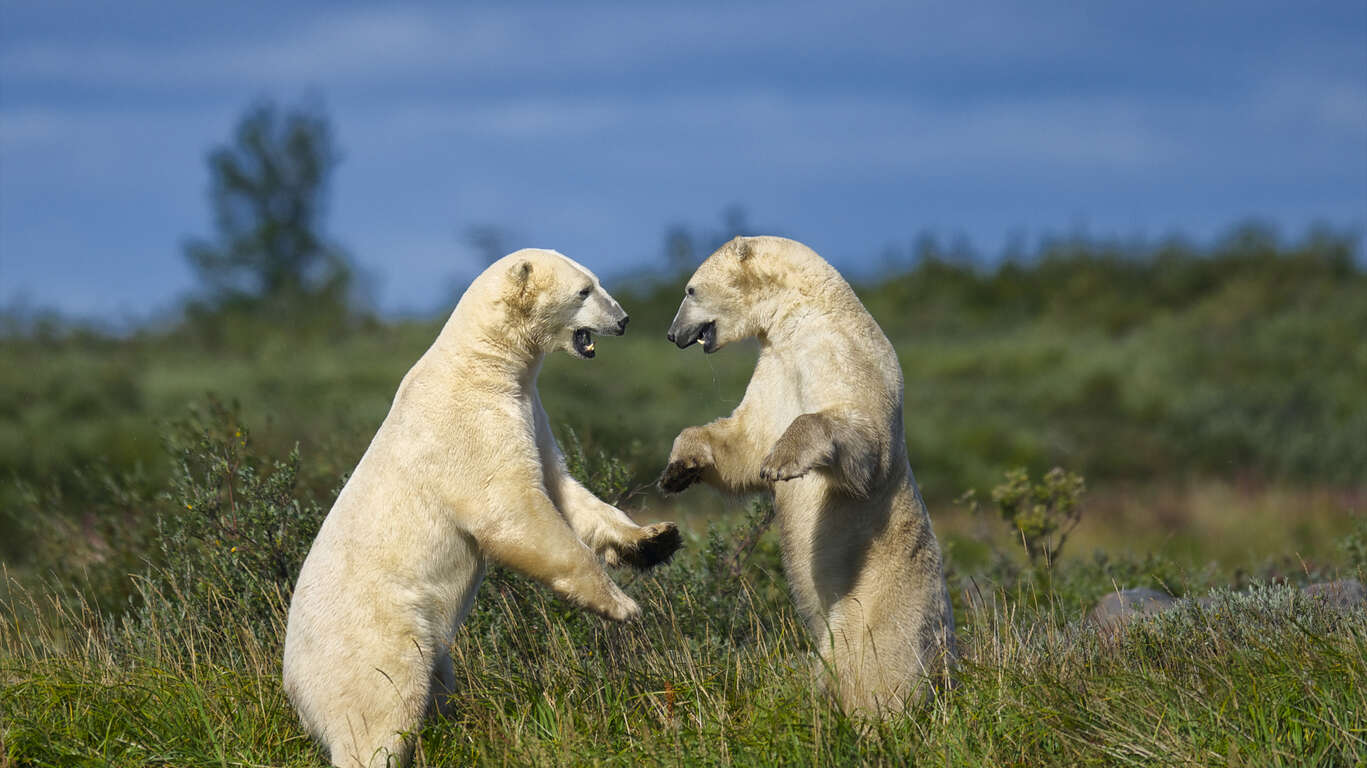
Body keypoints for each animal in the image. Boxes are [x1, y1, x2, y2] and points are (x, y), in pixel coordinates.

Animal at [284, 248, 683, 759]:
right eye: (584, 291)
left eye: (596, 281)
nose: (624, 319)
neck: (482, 362)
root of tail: (294, 686)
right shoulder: (471, 426)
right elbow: (514, 513)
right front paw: (622, 605)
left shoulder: (529, 410)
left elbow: (565, 488)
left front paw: (655, 539)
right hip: (376, 637)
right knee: (379, 713)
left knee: (435, 687)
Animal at [656, 236, 956, 716]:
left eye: (689, 290)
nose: (672, 334)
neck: (804, 315)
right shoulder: (776, 367)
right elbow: (745, 439)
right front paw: (678, 468)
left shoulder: (843, 354)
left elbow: (859, 434)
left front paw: (783, 461)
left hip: (881, 600)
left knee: (870, 664)